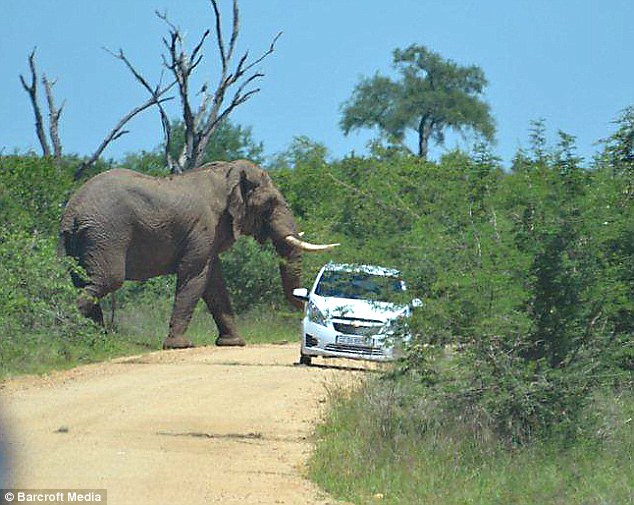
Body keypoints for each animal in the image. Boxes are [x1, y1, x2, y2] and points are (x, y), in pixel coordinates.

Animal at [59, 159, 338, 348]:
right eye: (269, 204)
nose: (304, 302)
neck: (227, 173)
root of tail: (72, 211)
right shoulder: (203, 227)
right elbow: (195, 276)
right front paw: (179, 346)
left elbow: (214, 283)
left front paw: (233, 343)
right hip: (106, 235)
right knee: (107, 281)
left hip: (77, 242)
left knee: (83, 282)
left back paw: (95, 341)